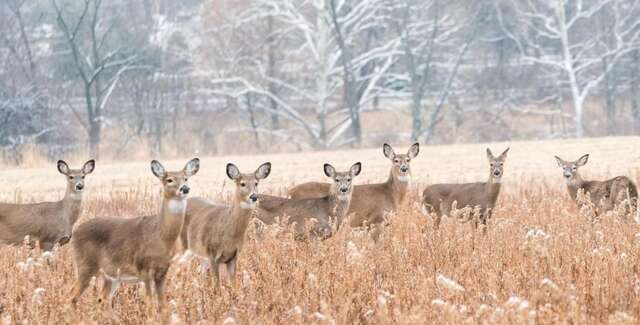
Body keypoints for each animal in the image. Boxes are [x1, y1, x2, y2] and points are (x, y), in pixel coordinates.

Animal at [68, 157, 199, 312]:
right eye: (169, 180)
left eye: (186, 178)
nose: (185, 188)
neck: (161, 236)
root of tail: (75, 233)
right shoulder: (144, 268)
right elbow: (150, 304)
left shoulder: (163, 271)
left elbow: (163, 306)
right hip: (85, 265)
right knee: (72, 295)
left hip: (111, 275)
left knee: (102, 299)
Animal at [288, 143, 420, 239]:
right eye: (395, 160)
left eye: (408, 160)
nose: (404, 169)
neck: (391, 194)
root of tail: (289, 192)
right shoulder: (376, 220)